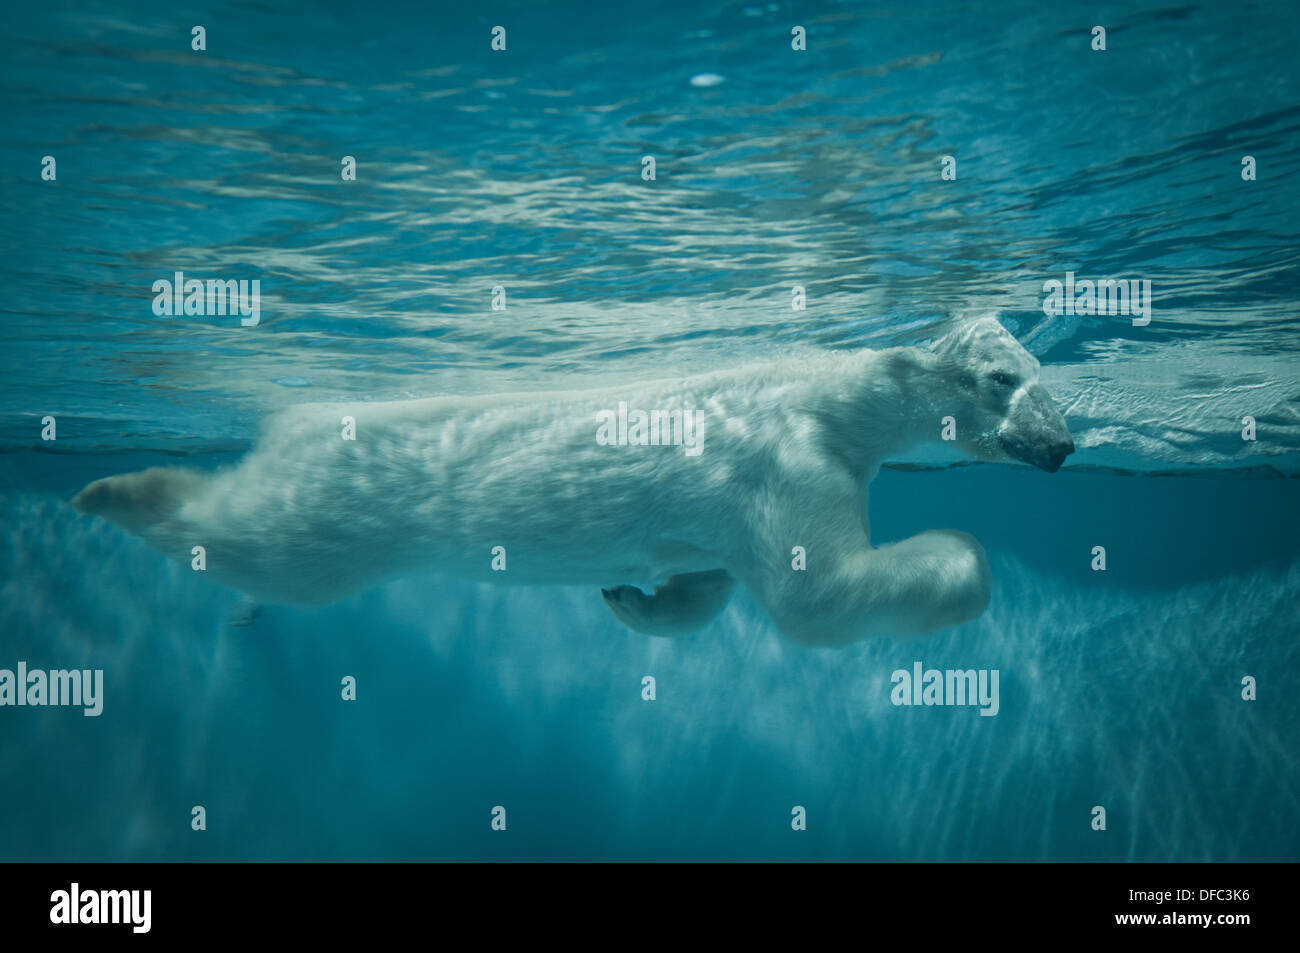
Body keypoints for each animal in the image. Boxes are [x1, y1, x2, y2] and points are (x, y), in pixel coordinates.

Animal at [65, 312, 1071, 647]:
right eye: (1001, 379)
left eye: (1044, 373)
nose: (1063, 444)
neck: (829, 395)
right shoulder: (792, 457)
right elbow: (817, 593)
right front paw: (965, 553)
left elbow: (707, 575)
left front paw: (635, 597)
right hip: (348, 503)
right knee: (275, 549)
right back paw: (118, 490)